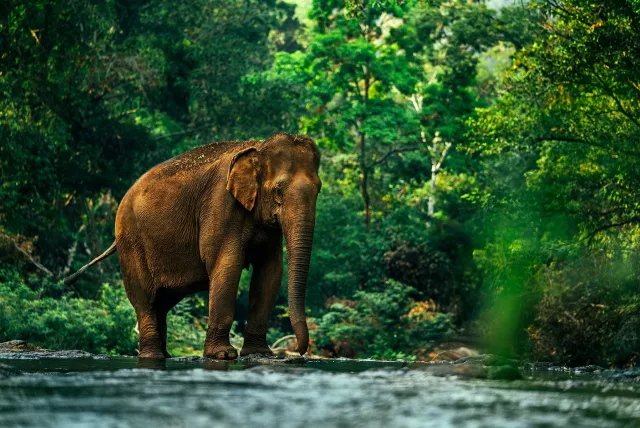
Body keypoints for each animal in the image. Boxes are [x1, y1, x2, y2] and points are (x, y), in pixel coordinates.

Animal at [64, 133, 321, 360]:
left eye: (318, 189)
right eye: (278, 191)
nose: (300, 352)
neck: (257, 147)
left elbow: (270, 271)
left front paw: (259, 353)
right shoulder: (220, 204)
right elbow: (227, 264)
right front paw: (223, 355)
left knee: (162, 301)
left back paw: (166, 354)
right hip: (131, 241)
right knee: (144, 298)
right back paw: (152, 356)